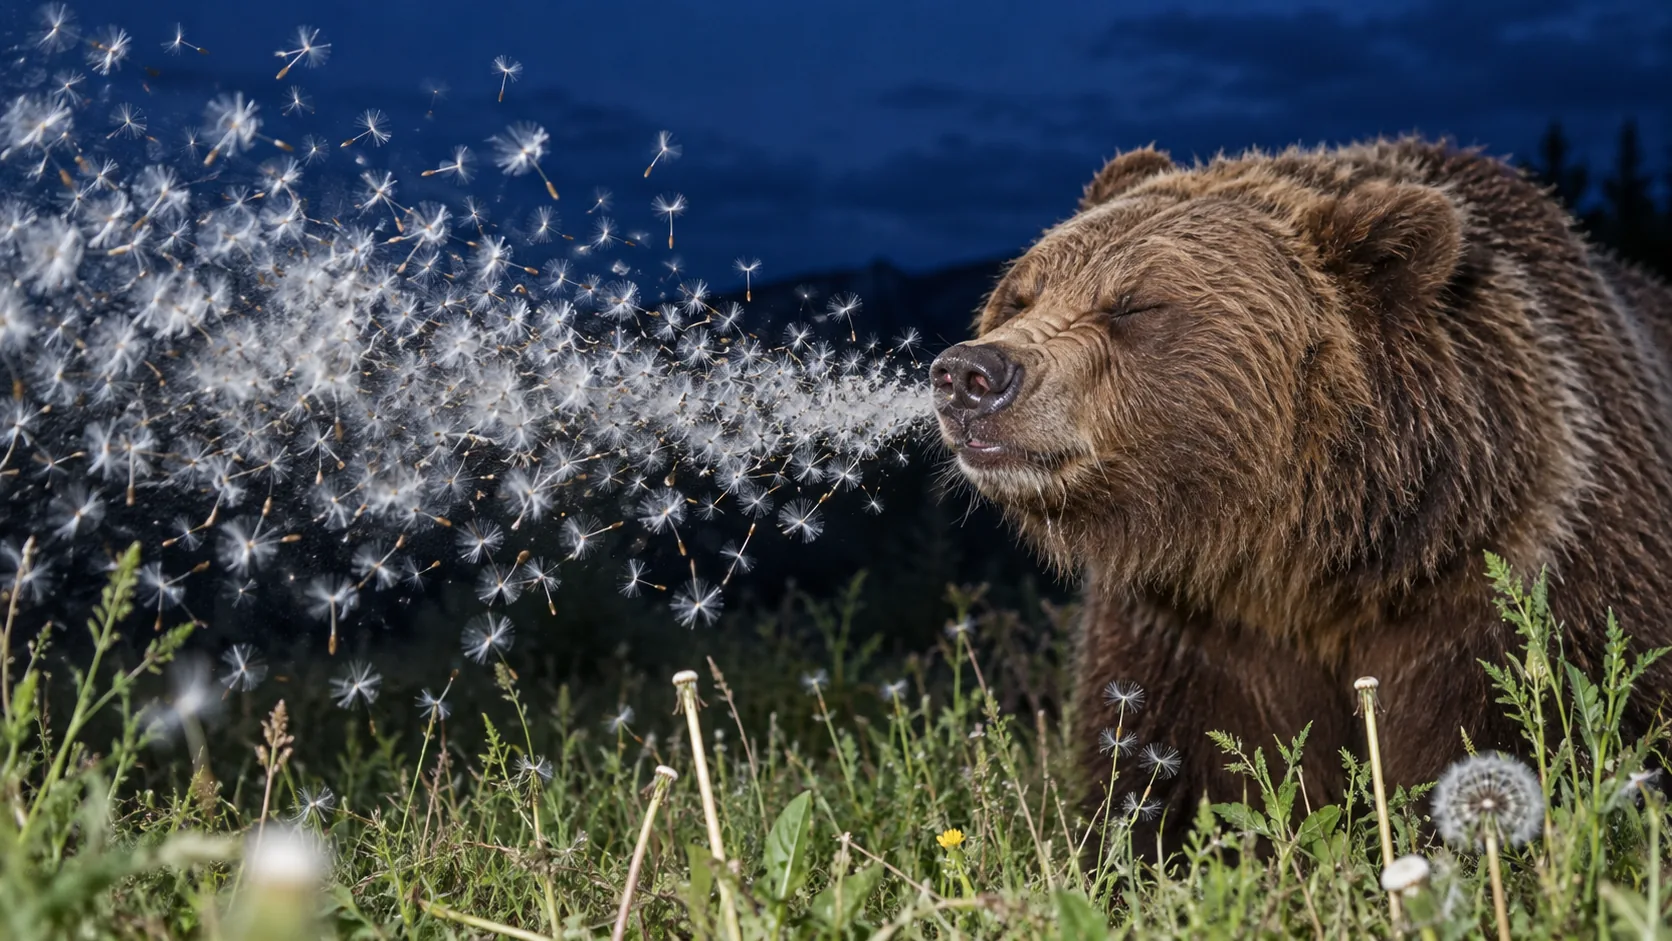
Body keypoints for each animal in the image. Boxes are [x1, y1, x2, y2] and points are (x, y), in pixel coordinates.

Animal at [929, 137, 1672, 843]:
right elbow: (1168, 774)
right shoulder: (1191, 634)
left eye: (1134, 303)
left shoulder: (1518, 584)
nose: (969, 373)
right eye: (1021, 294)